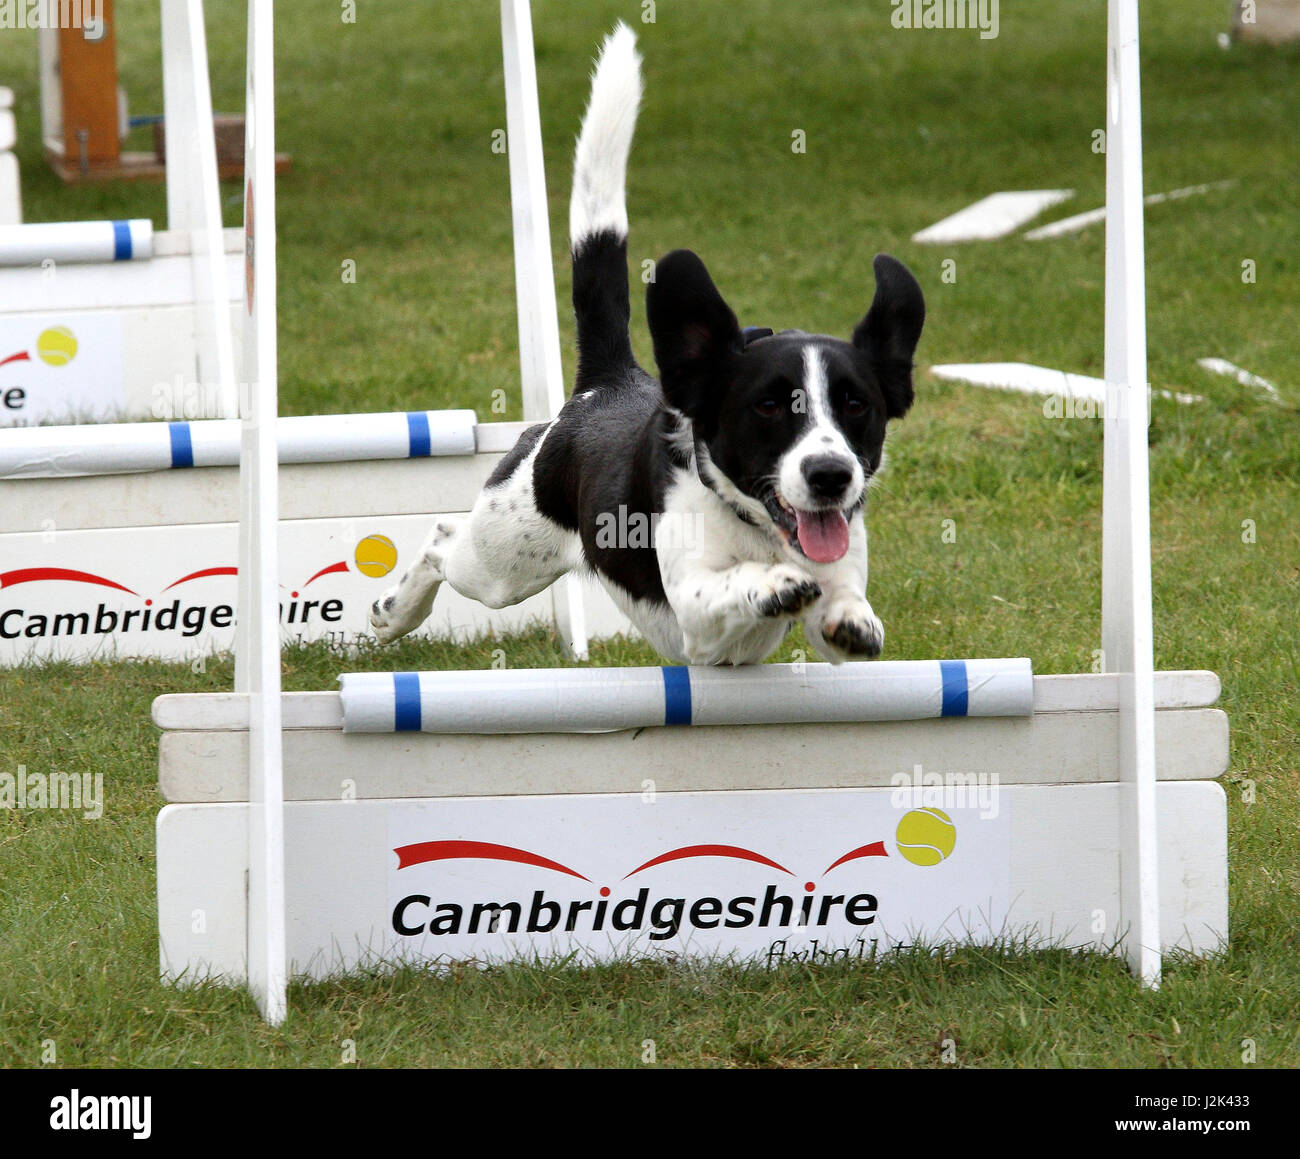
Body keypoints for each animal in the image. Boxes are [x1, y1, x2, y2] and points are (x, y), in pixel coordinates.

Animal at [366, 22, 925, 665]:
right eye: (767, 406)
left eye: (857, 405)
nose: (831, 475)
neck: (757, 527)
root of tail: (606, 384)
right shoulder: (693, 618)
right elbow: (731, 585)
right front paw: (771, 583)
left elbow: (844, 614)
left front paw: (851, 616)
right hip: (501, 563)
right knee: (441, 540)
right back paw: (393, 614)